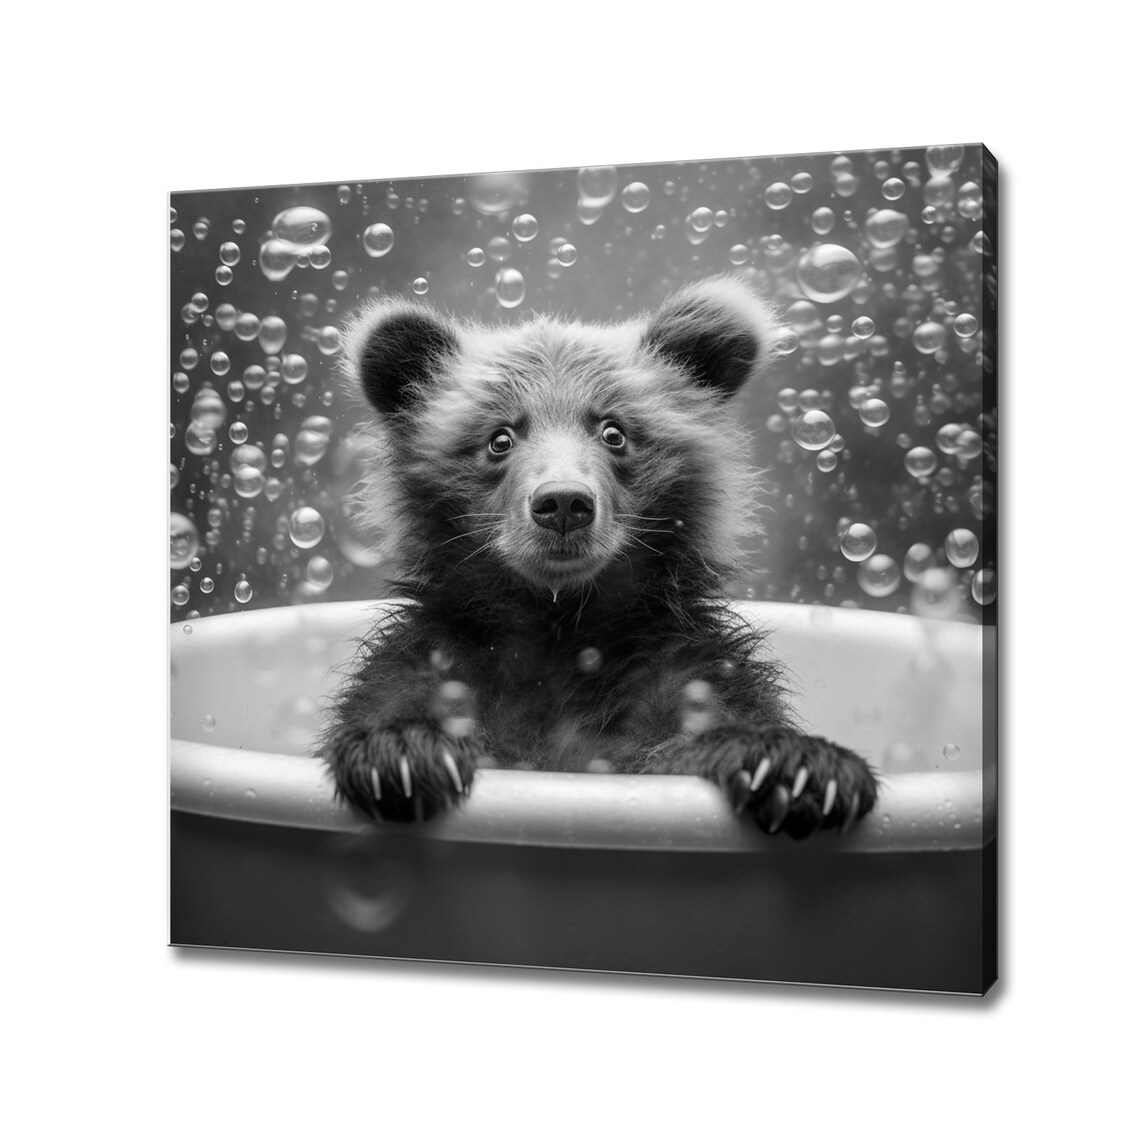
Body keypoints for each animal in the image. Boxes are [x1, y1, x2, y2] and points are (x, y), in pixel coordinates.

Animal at [322, 277, 877, 838]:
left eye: (614, 431)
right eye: (500, 437)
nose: (563, 503)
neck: (561, 623)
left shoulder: (682, 671)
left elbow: (701, 727)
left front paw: (797, 767)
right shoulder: (437, 663)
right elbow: (394, 706)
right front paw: (402, 754)